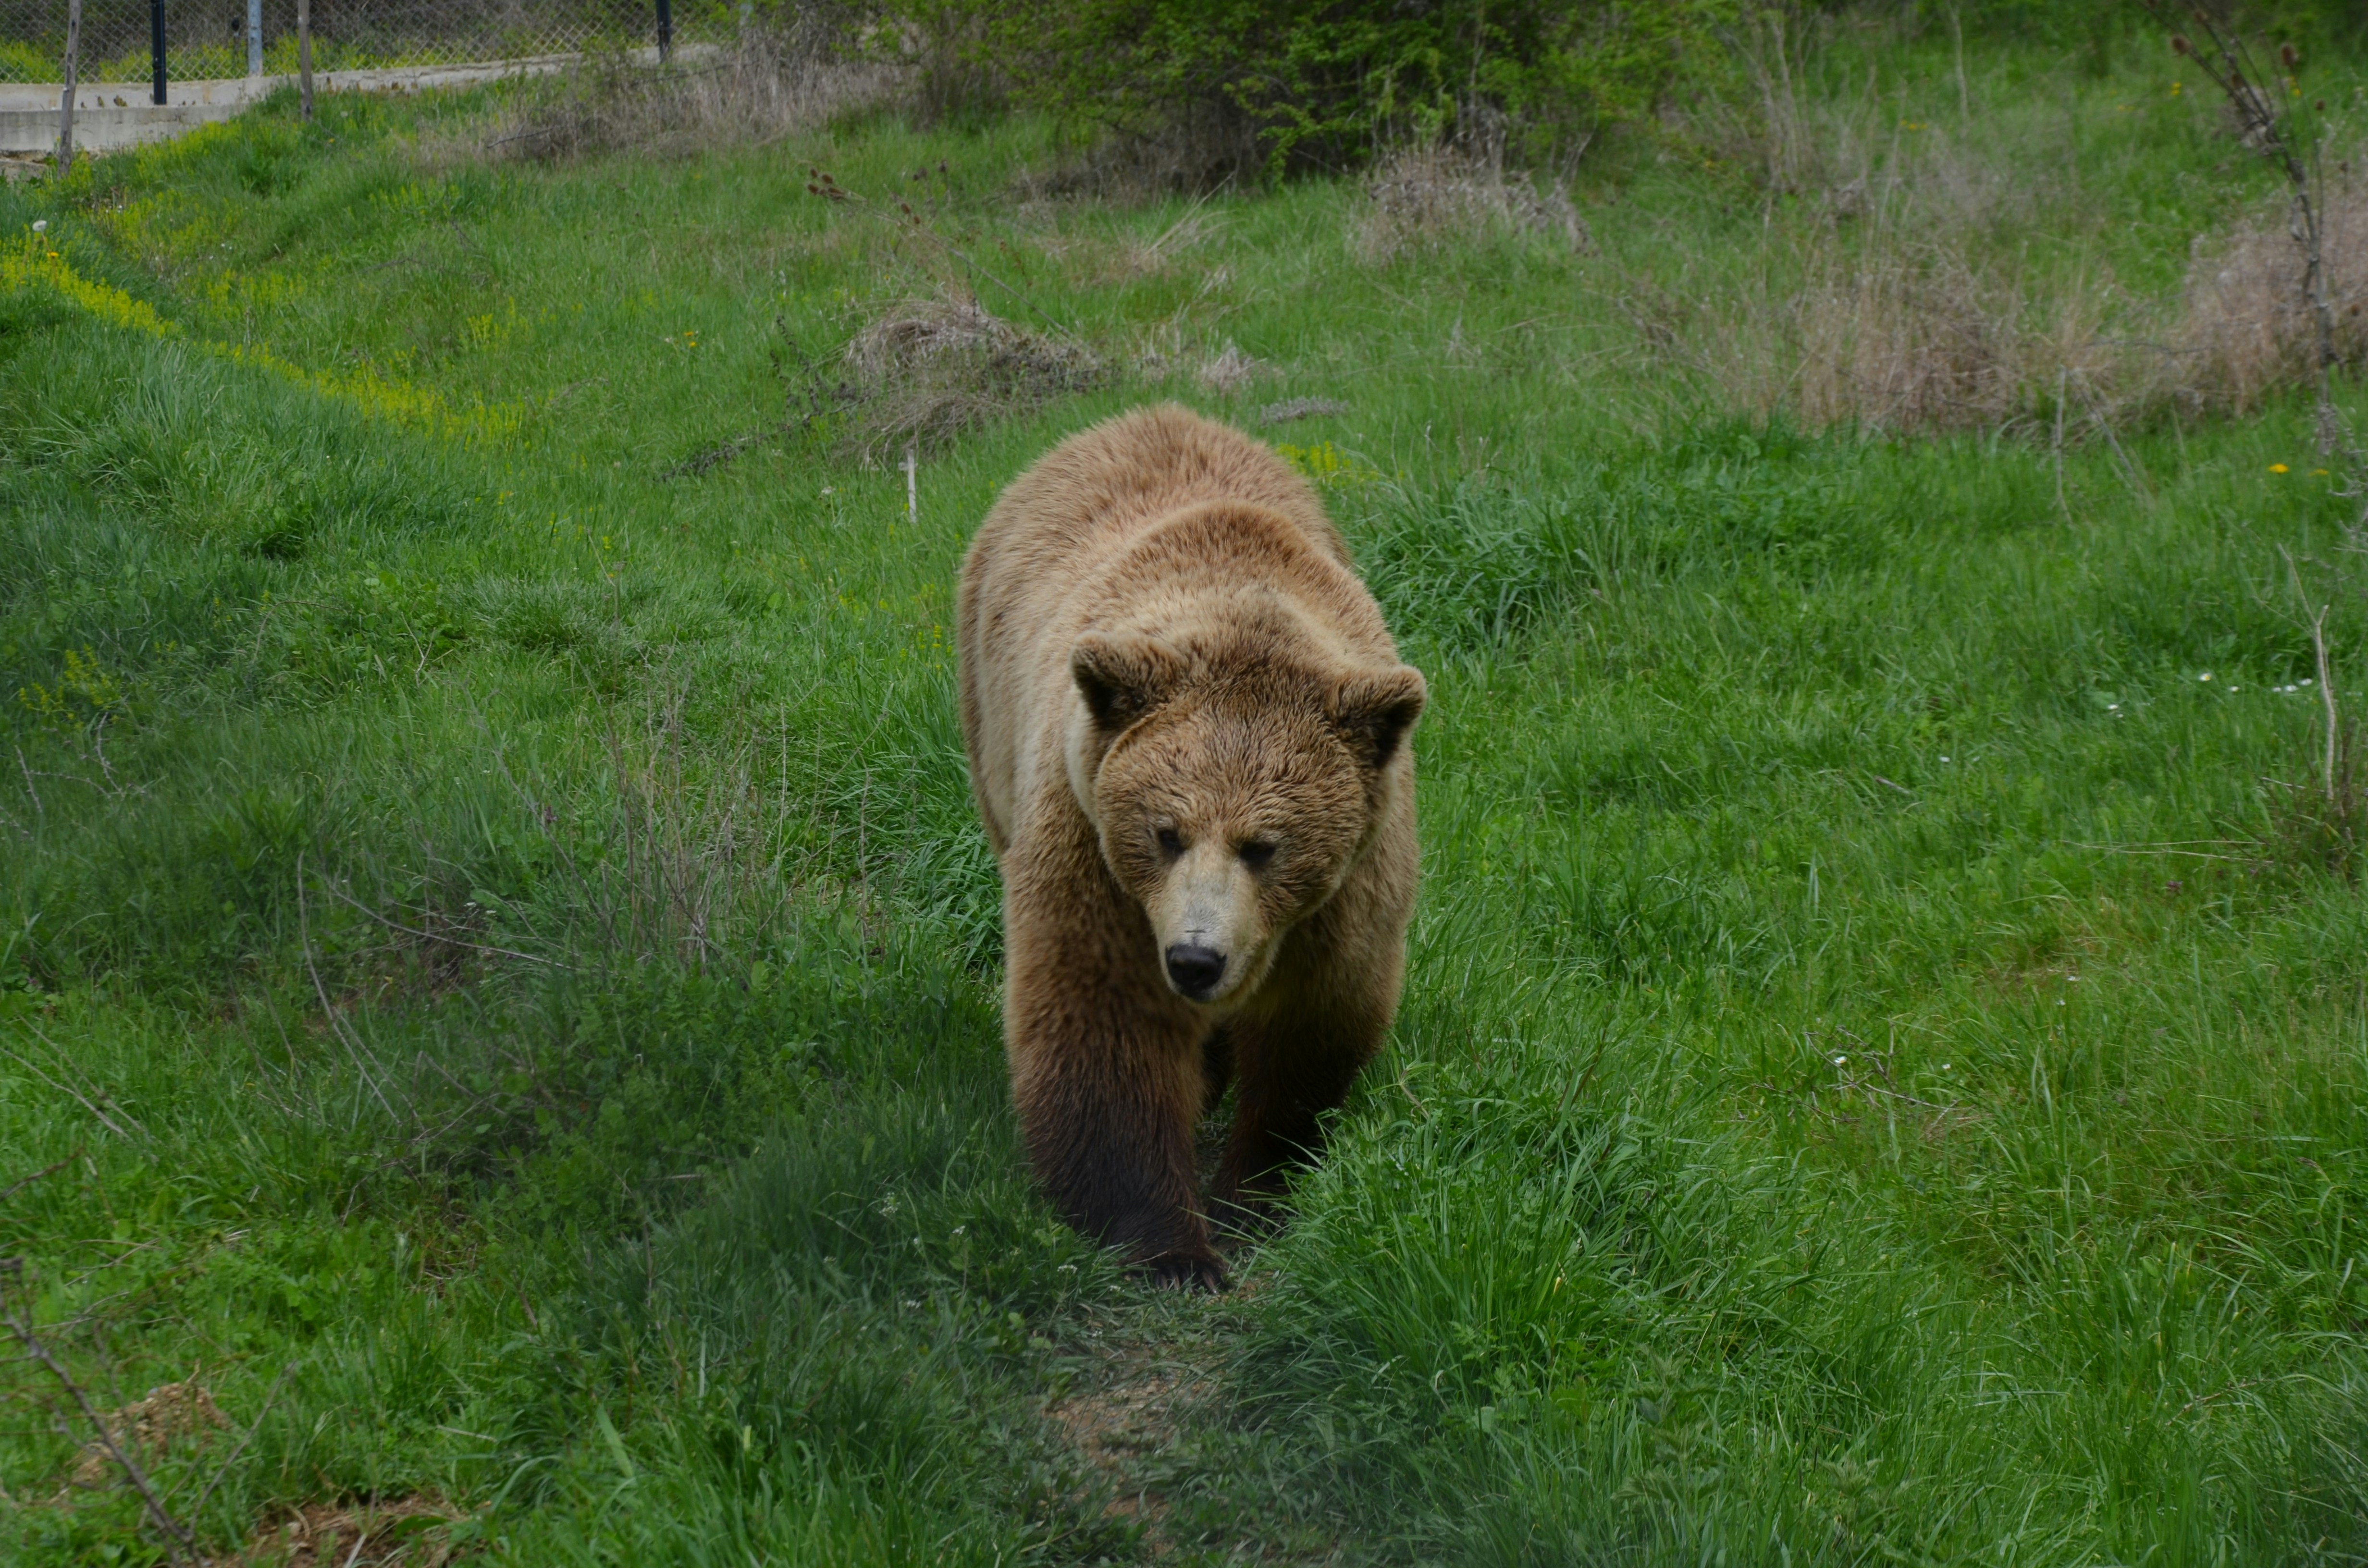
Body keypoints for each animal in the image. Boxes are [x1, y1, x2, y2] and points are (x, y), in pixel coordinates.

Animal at [957, 403, 1425, 1289]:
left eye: (1265, 845)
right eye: (1164, 832)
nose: (1195, 959)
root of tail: (1139, 417)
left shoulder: (1346, 891)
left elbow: (1315, 1024)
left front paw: (1256, 1191)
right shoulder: (1094, 854)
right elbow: (1103, 1027)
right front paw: (1172, 1246)